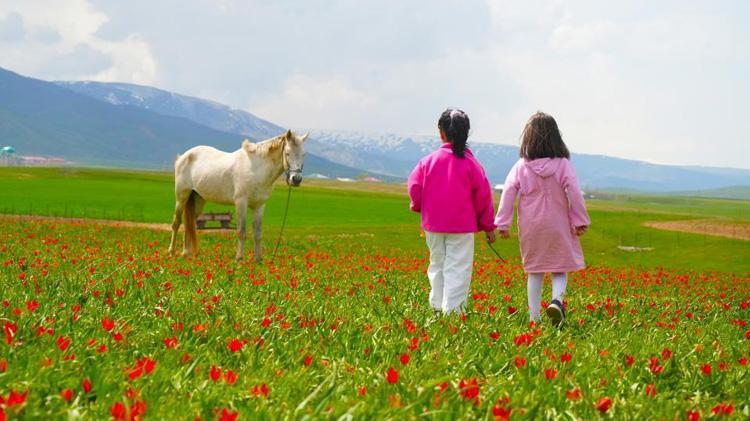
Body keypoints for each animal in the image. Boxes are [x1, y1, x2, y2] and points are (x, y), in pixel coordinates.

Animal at [168, 129, 308, 262]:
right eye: (287, 153)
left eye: (303, 154)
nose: (296, 179)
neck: (256, 168)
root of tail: (183, 157)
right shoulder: (241, 203)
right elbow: (241, 232)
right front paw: (239, 259)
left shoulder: (259, 206)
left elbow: (258, 233)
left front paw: (258, 260)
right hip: (181, 196)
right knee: (176, 223)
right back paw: (172, 252)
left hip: (198, 199)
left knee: (189, 223)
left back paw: (187, 253)